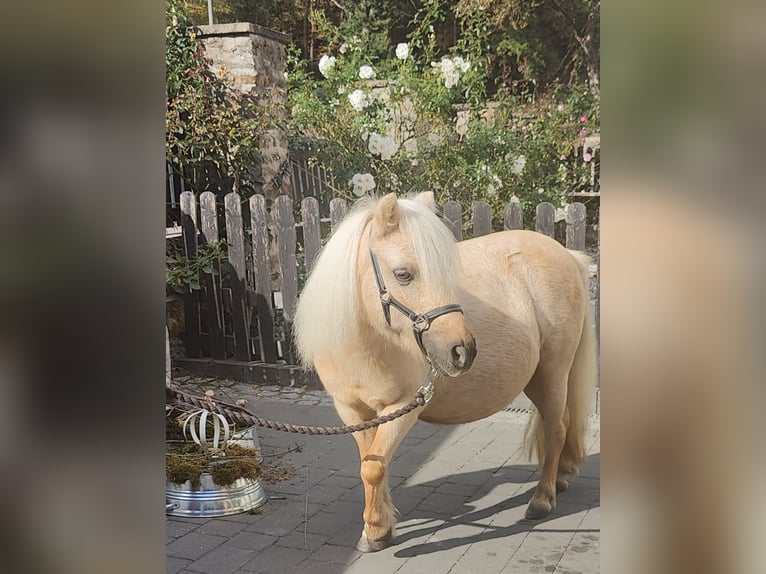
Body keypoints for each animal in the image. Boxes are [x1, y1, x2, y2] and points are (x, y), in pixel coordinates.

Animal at [294, 191, 597, 552]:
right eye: (403, 274)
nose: (463, 350)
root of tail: (566, 255)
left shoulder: (404, 406)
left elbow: (373, 469)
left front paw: (376, 531)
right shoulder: (352, 411)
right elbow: (372, 462)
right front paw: (381, 525)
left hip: (552, 372)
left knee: (556, 428)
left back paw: (542, 500)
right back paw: (561, 476)